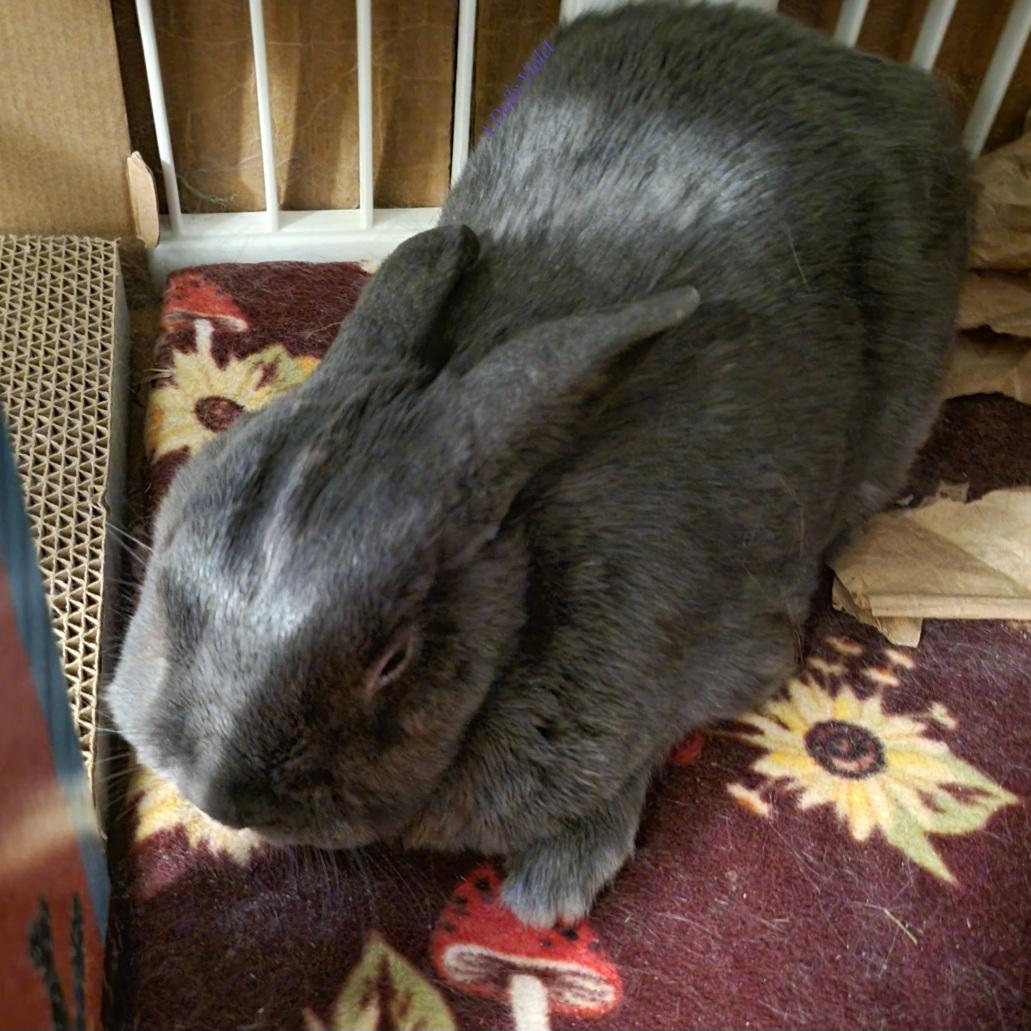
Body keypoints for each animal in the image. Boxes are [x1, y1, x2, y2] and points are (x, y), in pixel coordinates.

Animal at [106, 0, 970, 928]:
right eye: (169, 556)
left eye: (392, 660)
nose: (214, 794)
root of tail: (889, 81)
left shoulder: (731, 655)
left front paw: (549, 890)